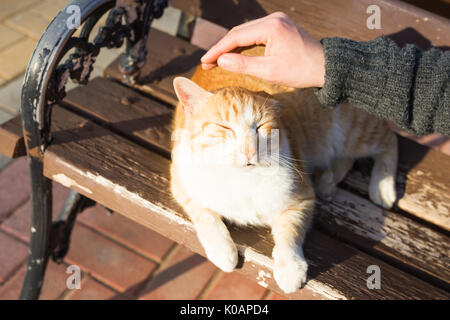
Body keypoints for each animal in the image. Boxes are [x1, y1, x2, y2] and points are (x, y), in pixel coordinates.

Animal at [170, 47, 398, 292]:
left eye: (260, 126)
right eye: (224, 127)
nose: (249, 151)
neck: (241, 179)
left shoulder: (302, 198)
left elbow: (290, 232)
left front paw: (290, 268)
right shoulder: (180, 181)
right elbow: (204, 214)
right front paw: (223, 250)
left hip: (353, 131)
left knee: (389, 140)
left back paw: (383, 187)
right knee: (348, 159)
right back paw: (327, 182)